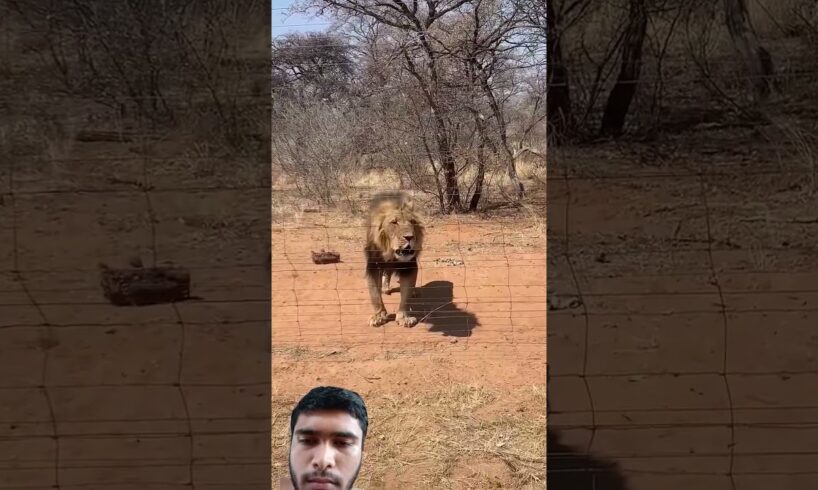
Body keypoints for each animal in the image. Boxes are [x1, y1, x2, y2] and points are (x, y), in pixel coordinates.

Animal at [364, 189, 428, 328]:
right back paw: (385, 288)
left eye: (413, 222)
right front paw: (378, 316)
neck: (391, 253)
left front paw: (404, 318)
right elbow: (374, 294)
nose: (409, 237)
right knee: (386, 273)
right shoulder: (373, 265)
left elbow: (406, 294)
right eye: (394, 222)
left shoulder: (409, 267)